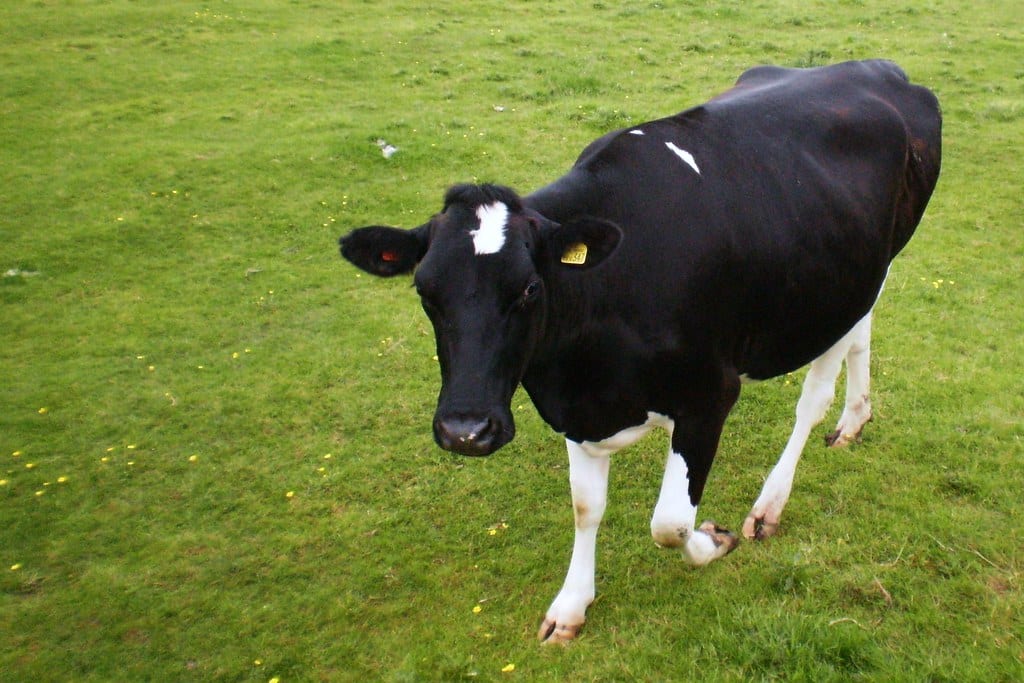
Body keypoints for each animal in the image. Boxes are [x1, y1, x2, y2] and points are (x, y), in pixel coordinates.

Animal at [339, 60, 941, 644]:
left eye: (530, 289)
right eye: (424, 290)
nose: (465, 431)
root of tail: (878, 68)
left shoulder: (708, 397)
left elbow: (670, 524)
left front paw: (715, 539)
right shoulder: (575, 408)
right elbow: (586, 507)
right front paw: (571, 606)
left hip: (848, 289)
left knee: (812, 398)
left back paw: (770, 505)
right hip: (857, 273)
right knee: (862, 336)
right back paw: (854, 419)